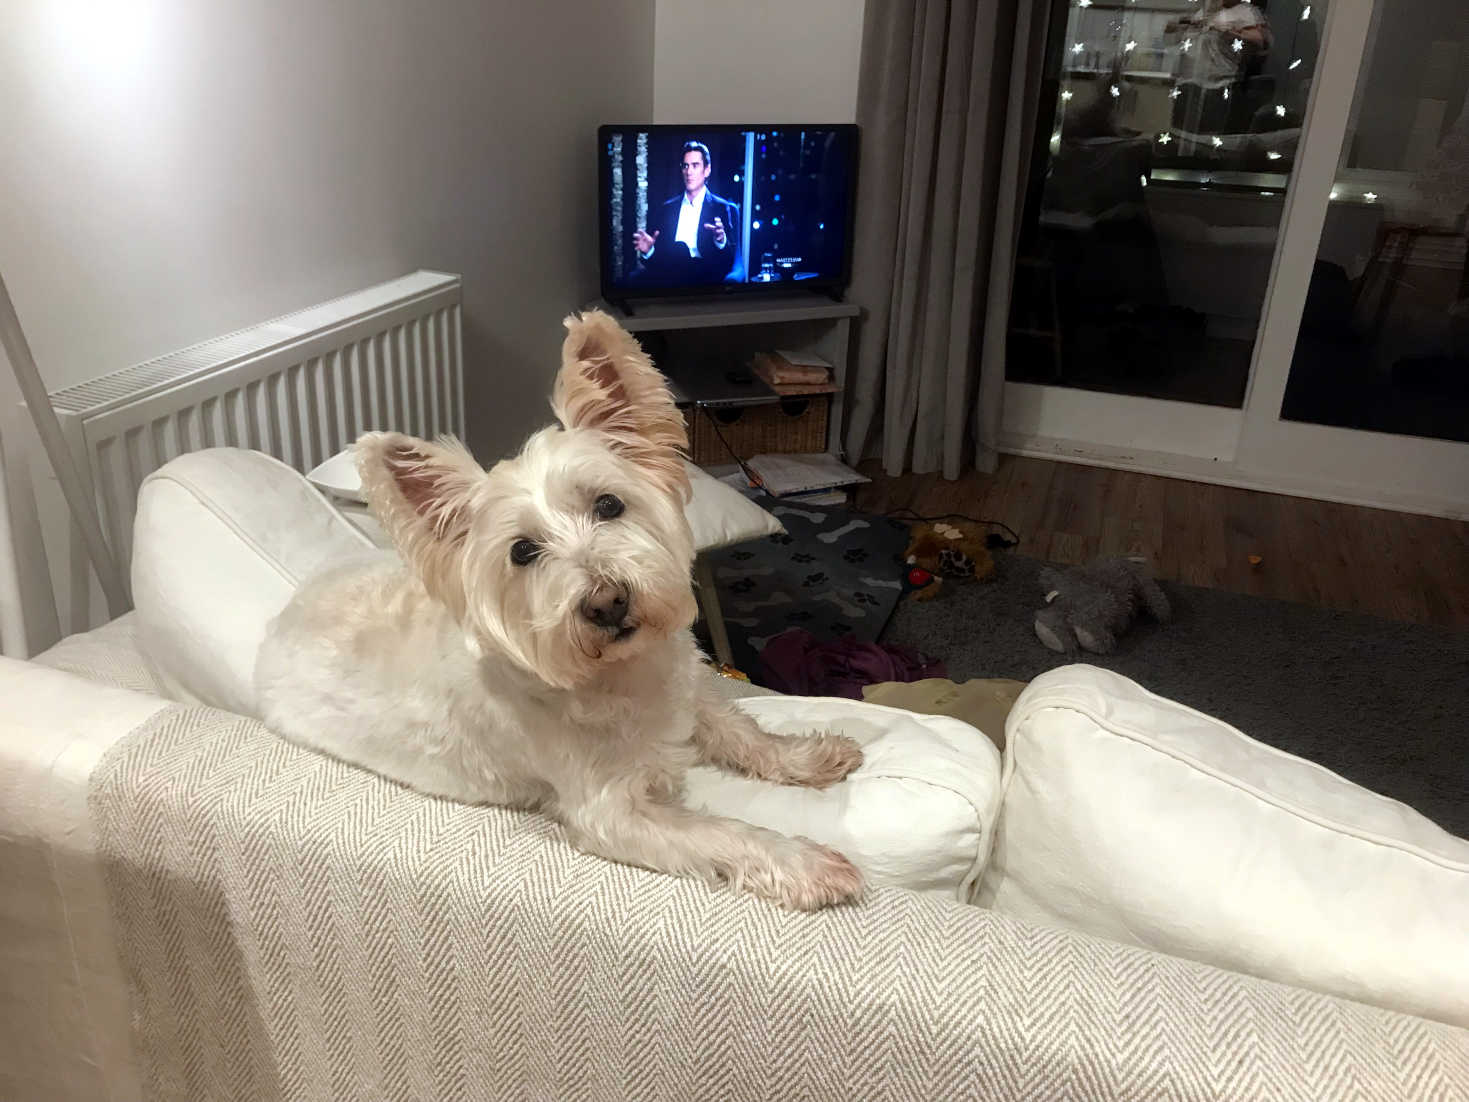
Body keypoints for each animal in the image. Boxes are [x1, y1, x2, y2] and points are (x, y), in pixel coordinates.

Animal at [258, 312, 863, 916]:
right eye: (522, 551)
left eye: (609, 504)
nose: (607, 602)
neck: (620, 675)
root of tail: (283, 614)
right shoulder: (613, 811)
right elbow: (721, 832)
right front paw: (806, 863)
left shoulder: (692, 692)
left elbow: (742, 729)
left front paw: (810, 755)